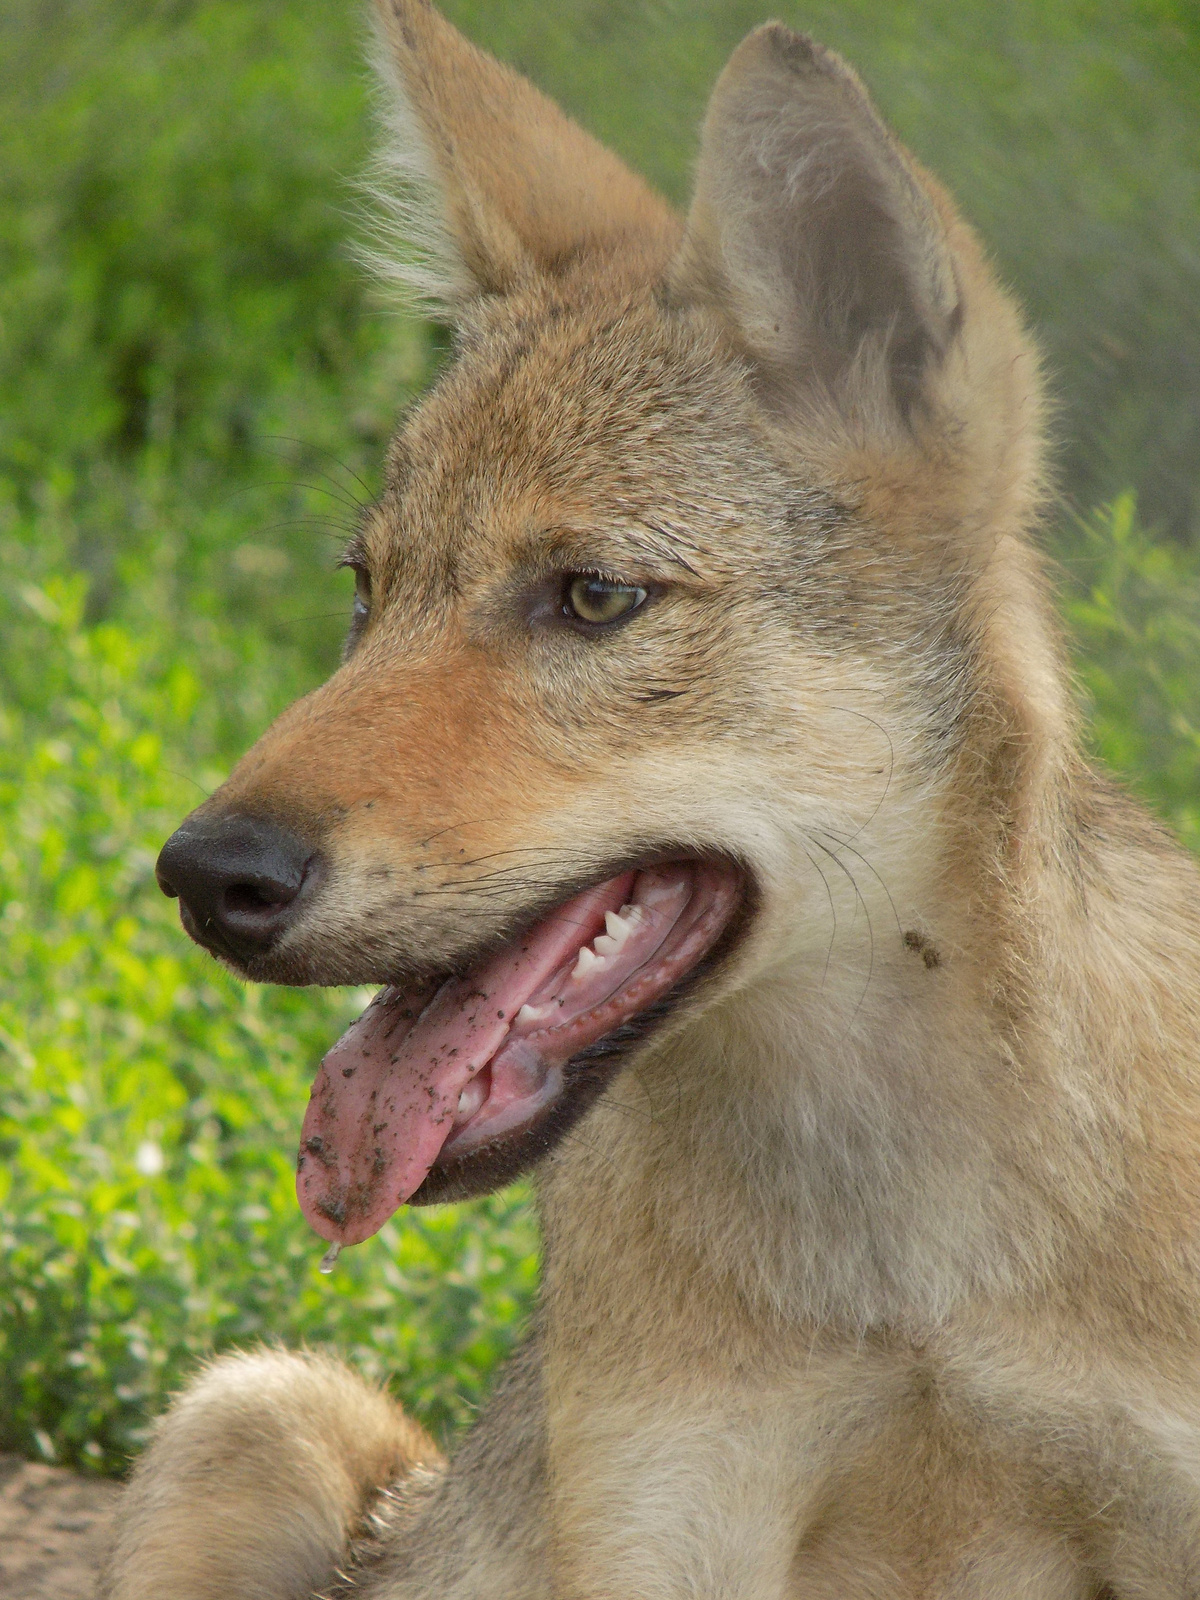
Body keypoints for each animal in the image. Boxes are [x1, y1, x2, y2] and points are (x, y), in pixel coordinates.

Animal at [103, 3, 1200, 1600]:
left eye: (594, 597)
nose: (202, 875)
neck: (898, 1278)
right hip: (253, 1411)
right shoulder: (664, 1524)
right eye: (368, 592)